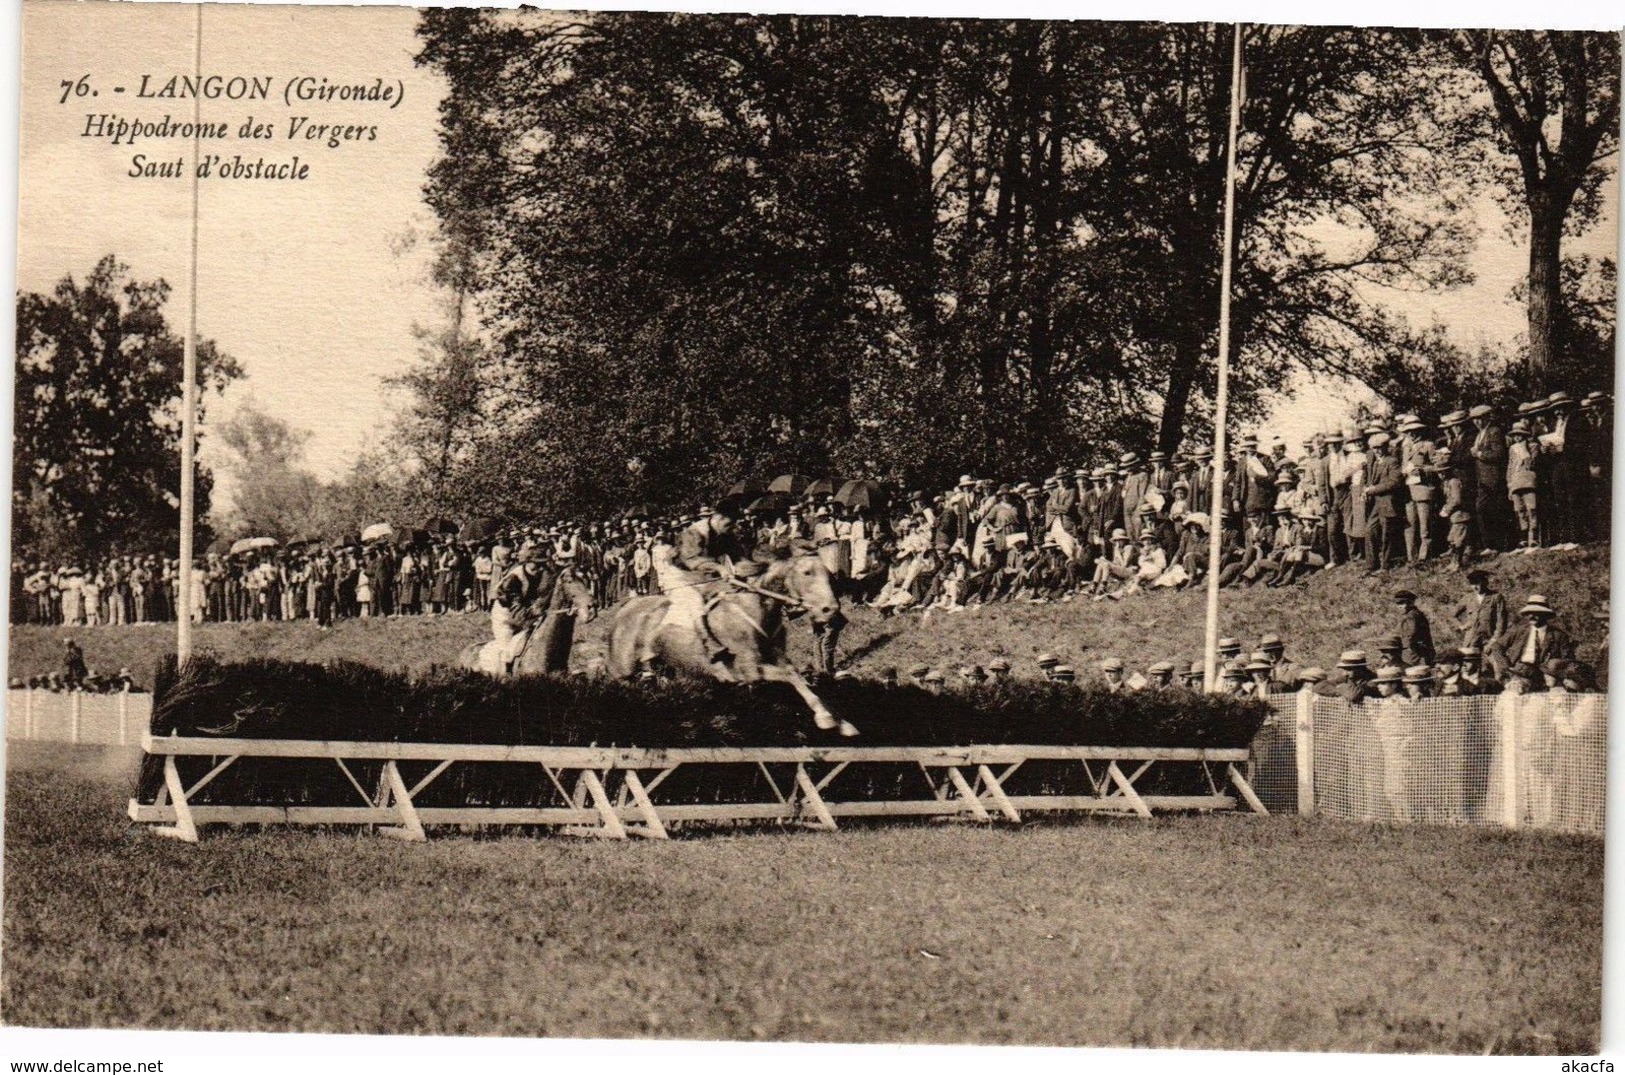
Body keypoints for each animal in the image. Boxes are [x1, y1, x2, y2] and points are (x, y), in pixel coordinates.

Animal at [611, 555, 864, 740]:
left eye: (830, 575)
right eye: (807, 573)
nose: (830, 610)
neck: (756, 609)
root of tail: (625, 607)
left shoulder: (778, 657)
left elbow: (797, 676)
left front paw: (841, 722)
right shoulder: (747, 670)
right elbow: (788, 676)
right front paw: (826, 718)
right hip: (622, 670)